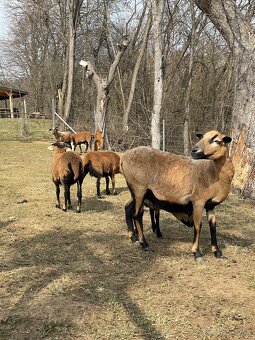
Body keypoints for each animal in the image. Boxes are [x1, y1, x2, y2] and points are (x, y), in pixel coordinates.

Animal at [120, 130, 234, 260]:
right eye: (201, 137)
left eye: (217, 141)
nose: (194, 150)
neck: (213, 173)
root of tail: (123, 157)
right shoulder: (198, 201)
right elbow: (198, 225)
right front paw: (197, 253)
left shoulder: (210, 205)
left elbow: (213, 226)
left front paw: (217, 252)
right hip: (139, 189)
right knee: (137, 215)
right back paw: (144, 244)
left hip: (135, 192)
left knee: (127, 208)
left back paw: (133, 238)